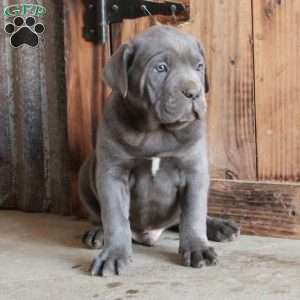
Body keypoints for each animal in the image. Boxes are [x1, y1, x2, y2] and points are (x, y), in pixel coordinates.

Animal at [79, 25, 239, 276]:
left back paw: (220, 226)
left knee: (184, 218)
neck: (156, 131)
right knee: (98, 214)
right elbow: (115, 216)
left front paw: (197, 248)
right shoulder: (112, 173)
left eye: (199, 66)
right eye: (160, 68)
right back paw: (98, 232)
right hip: (86, 174)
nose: (193, 93)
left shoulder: (194, 172)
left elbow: (194, 213)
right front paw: (113, 255)